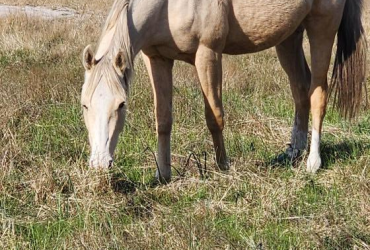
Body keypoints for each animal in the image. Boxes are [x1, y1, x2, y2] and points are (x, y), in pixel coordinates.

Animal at [79, 0, 366, 182]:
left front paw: (223, 167)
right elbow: (163, 119)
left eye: (121, 104)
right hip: (288, 37)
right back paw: (293, 151)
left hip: (321, 28)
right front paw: (163, 175)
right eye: (84, 105)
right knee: (300, 89)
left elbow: (214, 116)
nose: (100, 163)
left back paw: (313, 163)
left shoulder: (208, 54)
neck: (167, 7)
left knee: (318, 93)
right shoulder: (157, 59)